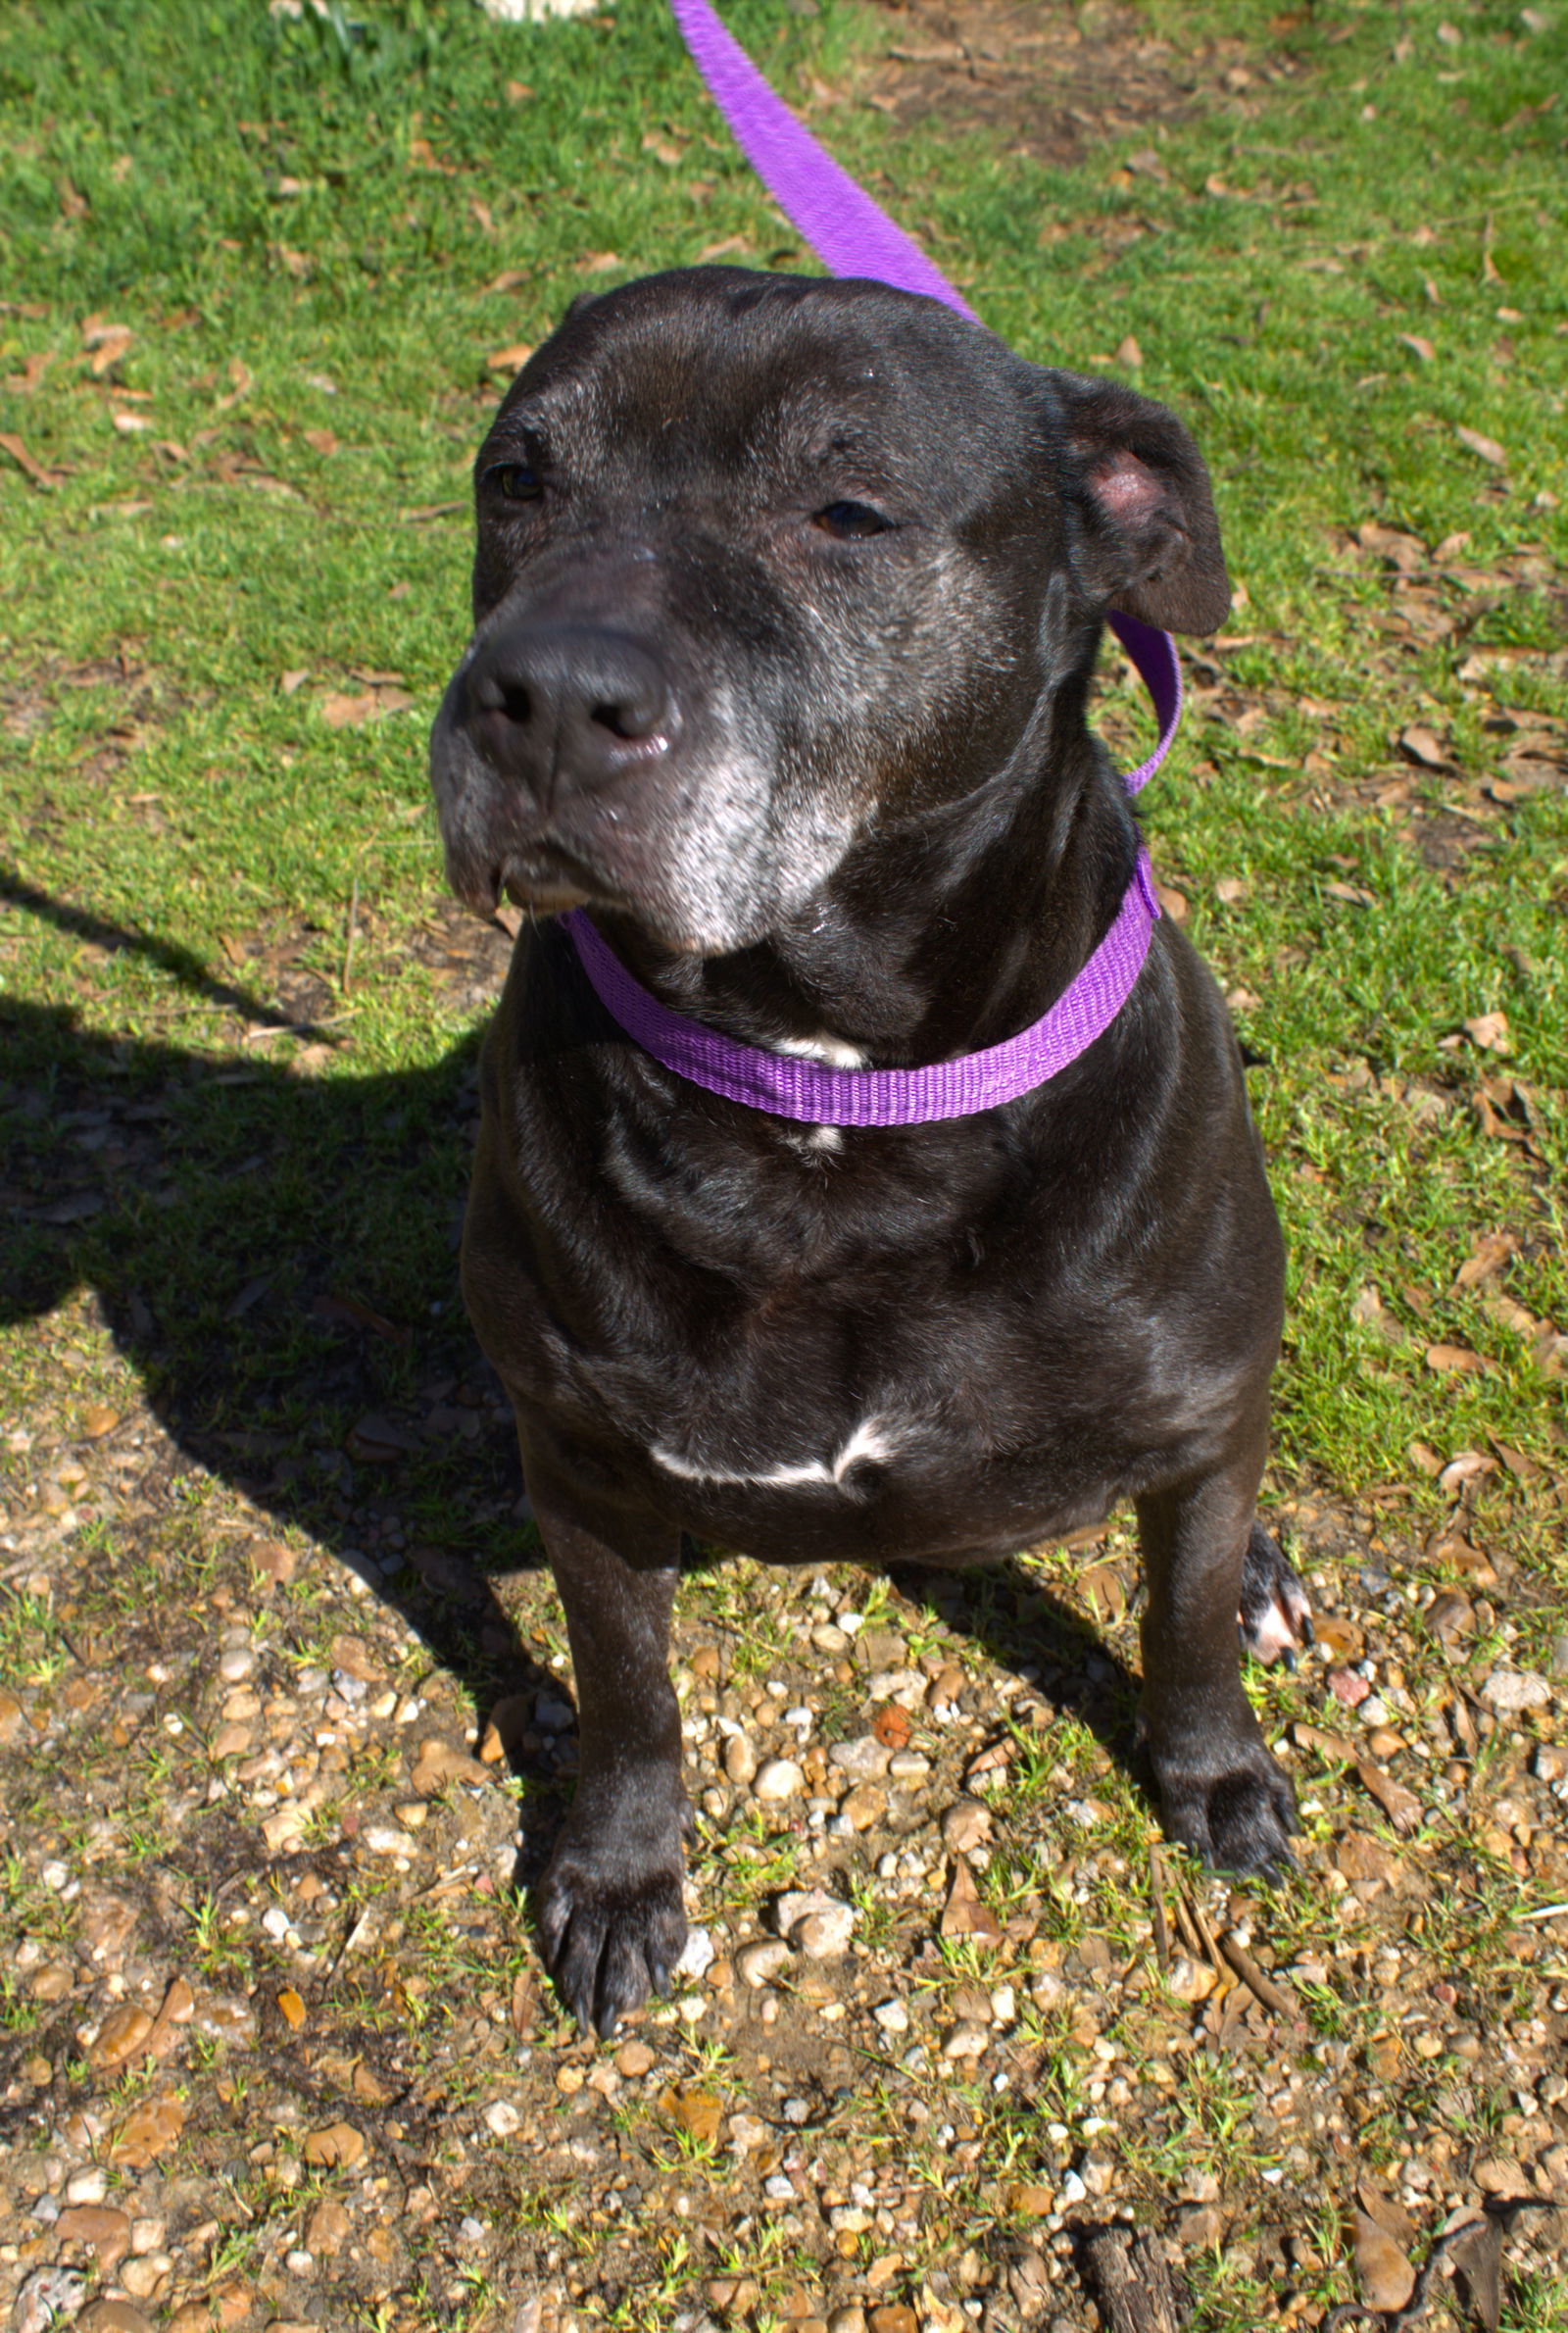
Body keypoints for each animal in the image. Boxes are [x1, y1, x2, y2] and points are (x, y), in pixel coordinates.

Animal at [429, 265, 1306, 2034]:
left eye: (846, 512)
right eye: (519, 480)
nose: (544, 696)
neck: (833, 1101)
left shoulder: (1198, 1414)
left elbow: (1181, 1620)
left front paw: (1213, 1772)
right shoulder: (582, 1468)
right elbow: (624, 1695)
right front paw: (615, 1876)